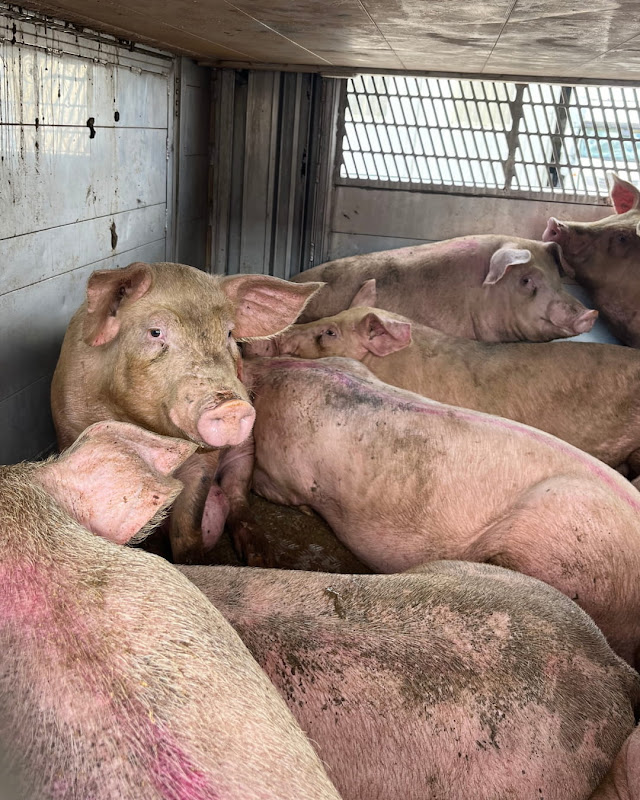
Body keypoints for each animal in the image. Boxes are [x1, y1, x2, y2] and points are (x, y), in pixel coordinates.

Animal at [50, 260, 322, 564]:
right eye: (155, 332)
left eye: (229, 334)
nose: (231, 405)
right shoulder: (68, 427)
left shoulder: (206, 460)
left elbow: (189, 523)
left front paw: (193, 561)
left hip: (245, 452)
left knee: (237, 496)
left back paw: (261, 559)